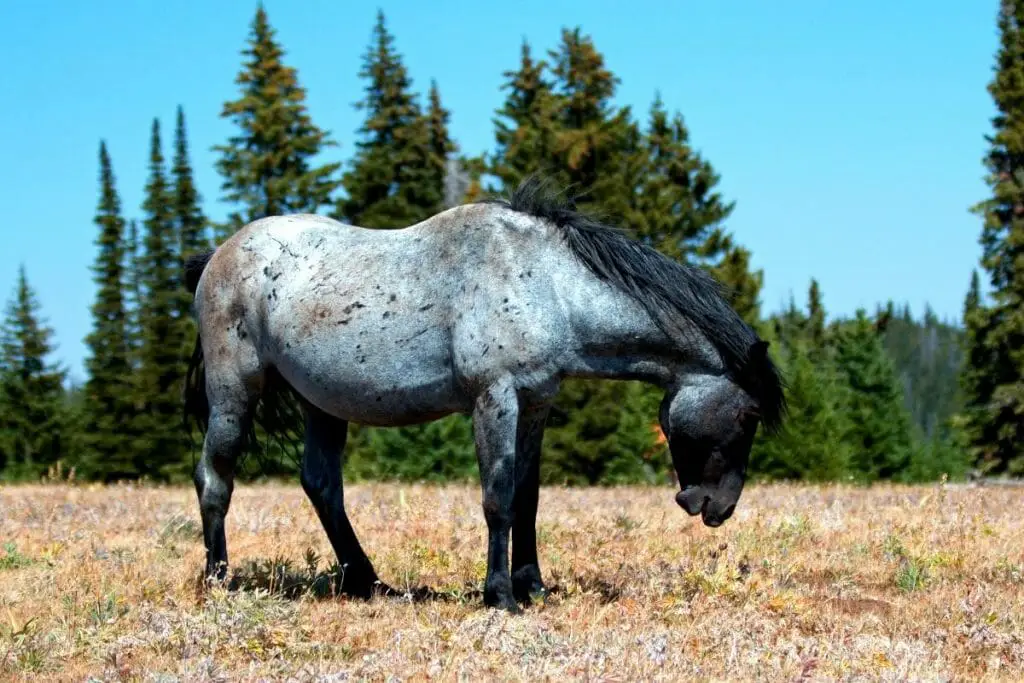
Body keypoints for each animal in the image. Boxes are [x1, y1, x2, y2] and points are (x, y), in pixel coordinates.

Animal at [182, 176, 782, 614]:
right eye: (749, 414)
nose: (720, 507)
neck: (550, 285)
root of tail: (217, 255)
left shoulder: (536, 404)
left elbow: (527, 498)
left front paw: (533, 586)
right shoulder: (495, 399)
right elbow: (497, 497)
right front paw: (500, 596)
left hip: (323, 405)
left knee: (322, 485)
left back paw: (366, 582)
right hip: (234, 394)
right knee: (215, 477)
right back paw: (218, 581)